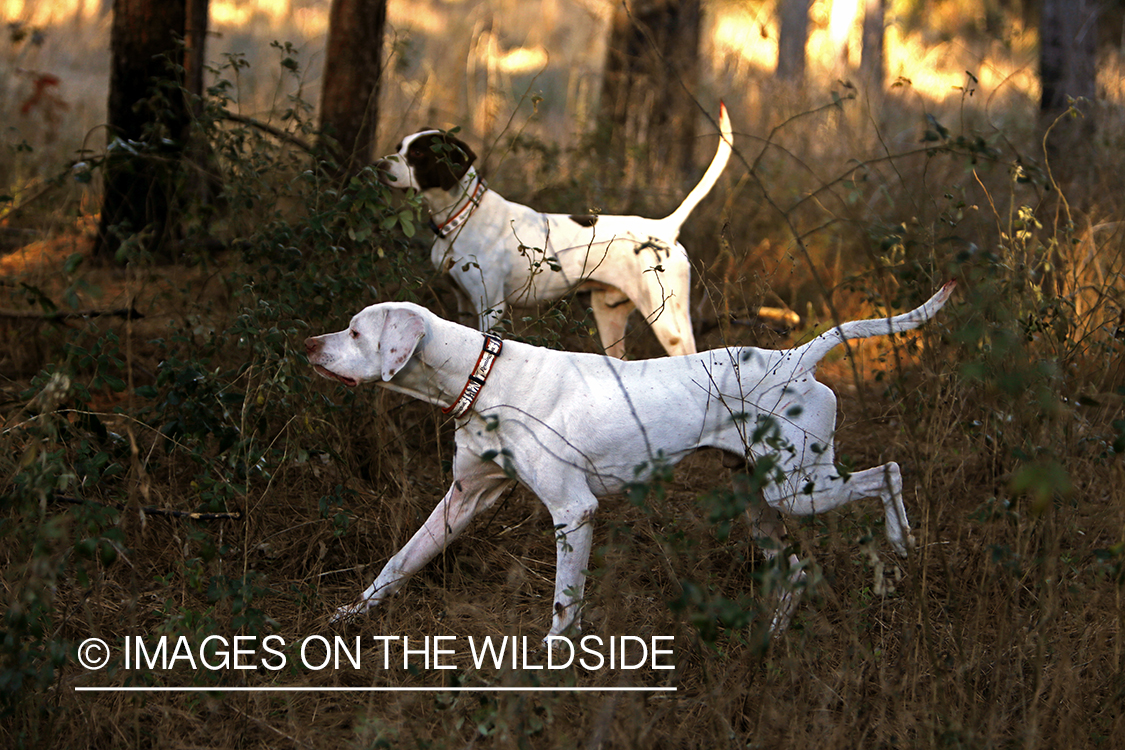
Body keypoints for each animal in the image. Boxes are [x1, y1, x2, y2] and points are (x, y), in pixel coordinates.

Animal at [308, 281, 958, 638]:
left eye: (356, 332)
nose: (309, 344)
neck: (483, 375)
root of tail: (796, 357)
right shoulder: (465, 499)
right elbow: (398, 563)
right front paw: (344, 618)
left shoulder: (574, 511)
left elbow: (565, 603)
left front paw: (550, 667)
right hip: (758, 494)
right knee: (796, 567)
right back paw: (769, 639)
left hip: (798, 490)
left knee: (888, 473)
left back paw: (902, 542)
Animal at [373, 106, 733, 359]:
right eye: (398, 147)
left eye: (418, 154)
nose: (378, 165)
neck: (462, 218)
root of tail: (664, 228)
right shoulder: (463, 300)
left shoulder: (491, 306)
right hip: (610, 316)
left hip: (669, 323)